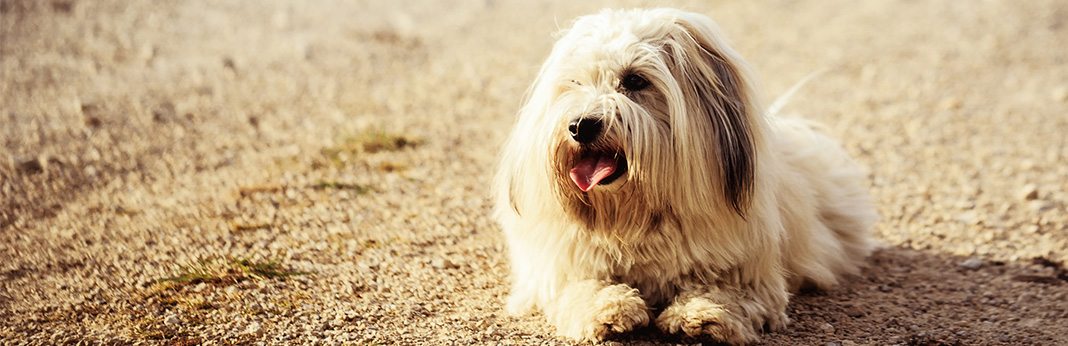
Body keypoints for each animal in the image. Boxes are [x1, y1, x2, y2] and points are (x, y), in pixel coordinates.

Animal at [491, 6, 875, 343]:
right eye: (575, 82)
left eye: (635, 80)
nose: (581, 125)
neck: (637, 216)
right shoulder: (562, 265)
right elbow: (580, 286)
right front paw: (609, 308)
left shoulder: (749, 273)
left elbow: (726, 290)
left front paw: (702, 313)